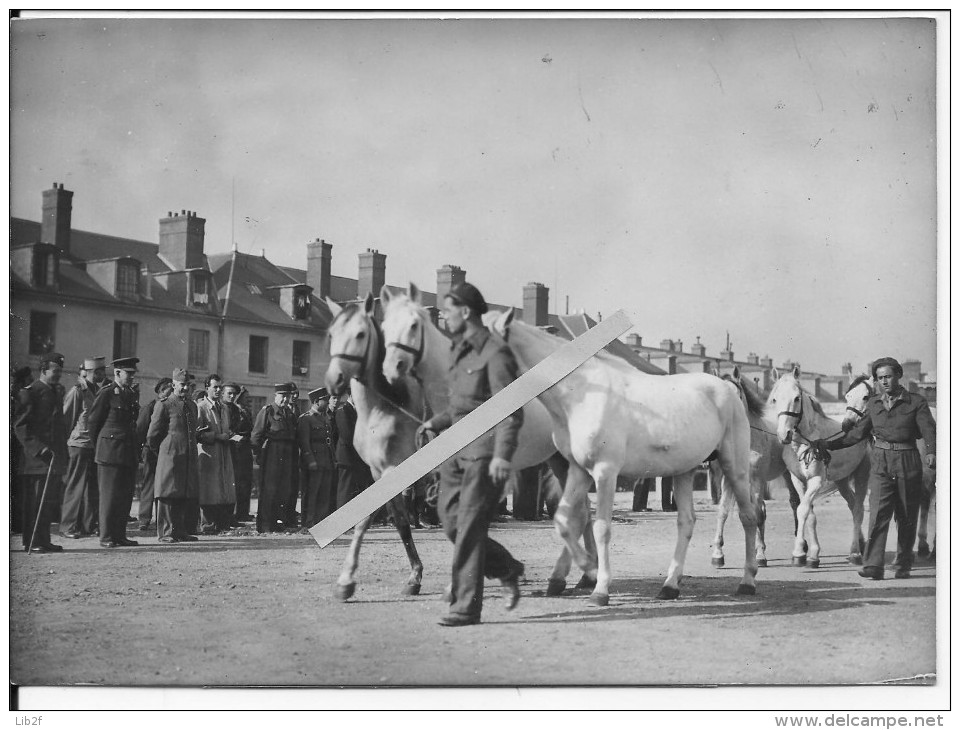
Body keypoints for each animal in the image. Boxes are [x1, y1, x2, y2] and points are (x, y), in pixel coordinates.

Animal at [322, 292, 428, 600]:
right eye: (332, 334)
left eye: (360, 334)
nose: (334, 380)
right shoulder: (376, 471)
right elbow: (389, 519)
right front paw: (346, 580)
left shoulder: (396, 469)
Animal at [378, 282, 596, 596]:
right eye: (384, 326)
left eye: (414, 324)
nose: (392, 367)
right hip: (558, 461)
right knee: (583, 511)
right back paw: (584, 576)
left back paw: (570, 577)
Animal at [492, 308, 760, 604]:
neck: (581, 393)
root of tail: (727, 391)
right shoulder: (578, 470)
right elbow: (564, 521)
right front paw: (588, 568)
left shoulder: (605, 472)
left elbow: (602, 527)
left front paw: (600, 588)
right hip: (684, 471)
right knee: (686, 522)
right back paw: (670, 585)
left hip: (734, 468)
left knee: (748, 517)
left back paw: (747, 581)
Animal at [768, 366, 872, 564]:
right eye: (775, 398)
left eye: (797, 398)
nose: (784, 434)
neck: (805, 442)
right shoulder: (798, 481)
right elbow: (808, 513)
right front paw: (810, 554)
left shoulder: (816, 480)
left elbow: (802, 510)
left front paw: (799, 553)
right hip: (842, 481)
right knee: (852, 504)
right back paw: (860, 545)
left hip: (862, 475)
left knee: (858, 510)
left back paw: (855, 553)